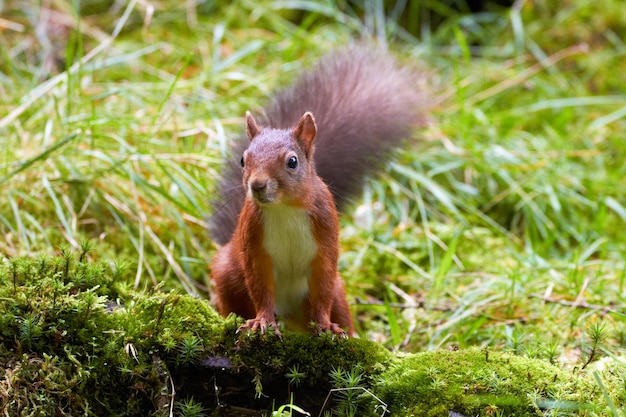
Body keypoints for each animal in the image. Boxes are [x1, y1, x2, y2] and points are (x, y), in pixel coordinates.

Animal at [207, 46, 426, 338]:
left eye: (292, 161)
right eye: (243, 160)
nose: (257, 185)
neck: (284, 209)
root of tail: (291, 316)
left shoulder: (325, 233)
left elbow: (322, 283)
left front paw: (326, 324)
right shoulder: (253, 242)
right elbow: (260, 287)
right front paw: (262, 320)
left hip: (338, 291)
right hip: (228, 274)